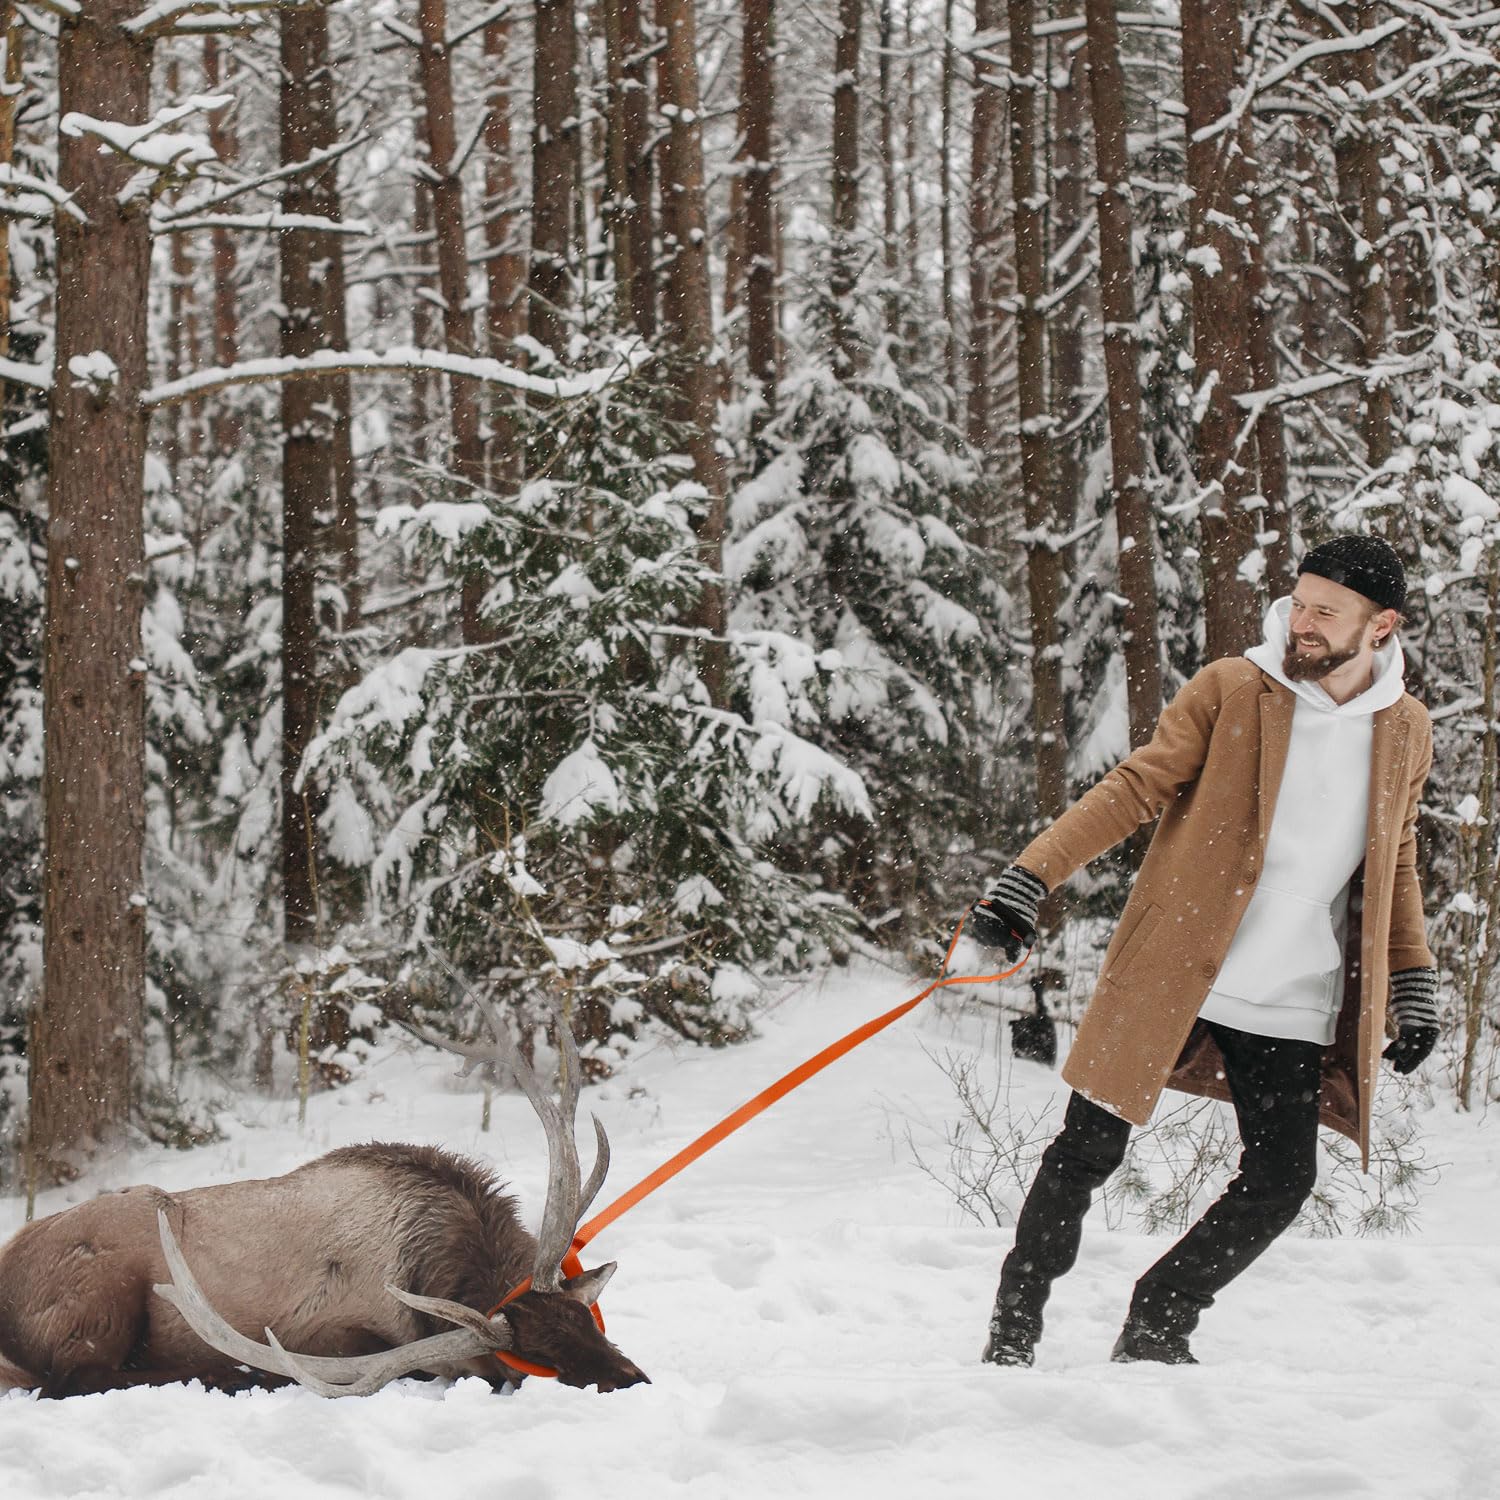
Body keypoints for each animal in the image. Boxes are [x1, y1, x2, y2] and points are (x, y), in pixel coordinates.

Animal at [0, 993, 649, 1398]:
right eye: (533, 1359)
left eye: (587, 1321)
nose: (633, 1381)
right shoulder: (329, 1335)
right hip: (100, 1298)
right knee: (75, 1380)